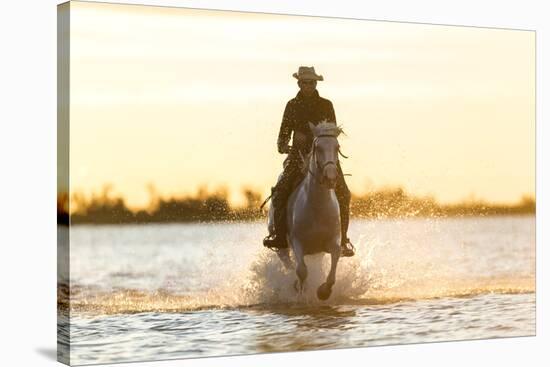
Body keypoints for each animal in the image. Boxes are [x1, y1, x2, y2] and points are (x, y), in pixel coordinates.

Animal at [268, 122, 342, 300]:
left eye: (337, 147)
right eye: (318, 148)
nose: (331, 177)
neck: (317, 206)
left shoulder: (333, 241)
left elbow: (334, 262)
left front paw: (323, 291)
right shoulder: (297, 243)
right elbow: (301, 270)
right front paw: (301, 290)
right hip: (282, 247)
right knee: (289, 264)